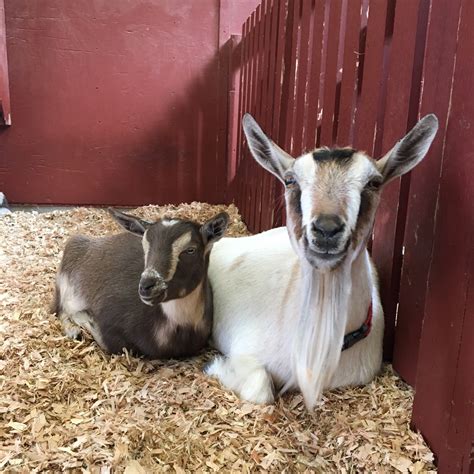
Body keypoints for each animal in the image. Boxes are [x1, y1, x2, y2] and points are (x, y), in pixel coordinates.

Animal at [51, 209, 230, 358]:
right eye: (144, 246)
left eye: (190, 250)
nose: (147, 286)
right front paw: (84, 319)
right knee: (58, 310)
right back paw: (73, 330)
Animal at [206, 112, 438, 408]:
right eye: (290, 180)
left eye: (374, 183)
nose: (327, 229)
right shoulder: (245, 351)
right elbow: (261, 388)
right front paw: (217, 367)